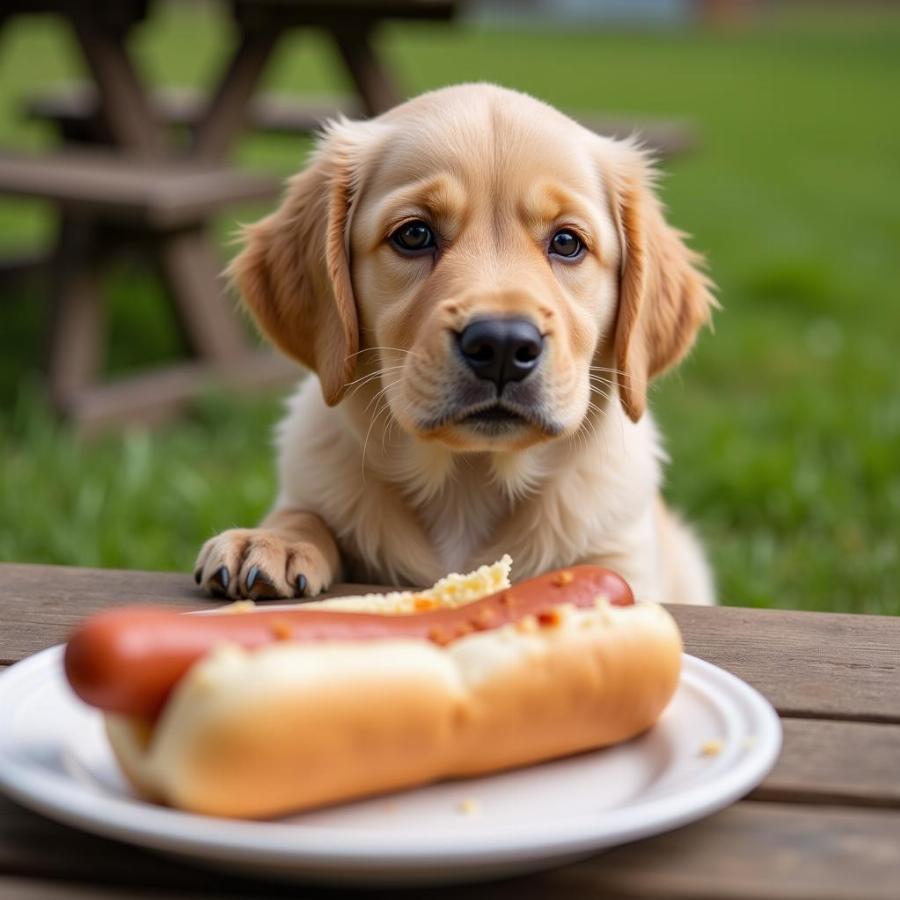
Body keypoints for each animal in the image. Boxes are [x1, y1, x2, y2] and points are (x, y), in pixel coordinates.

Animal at [195, 84, 716, 604]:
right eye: (414, 234)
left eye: (567, 243)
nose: (502, 346)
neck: (467, 483)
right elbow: (304, 510)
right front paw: (272, 540)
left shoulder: (625, 559)